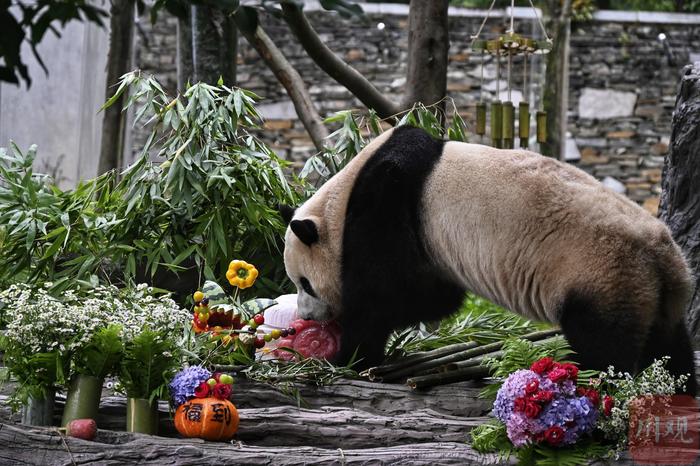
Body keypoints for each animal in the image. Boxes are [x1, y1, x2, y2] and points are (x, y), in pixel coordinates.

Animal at [278, 124, 696, 394]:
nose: (307, 315)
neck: (341, 199)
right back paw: (679, 391)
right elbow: (431, 298)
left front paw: (348, 354)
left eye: (304, 283)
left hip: (601, 271)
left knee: (604, 346)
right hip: (654, 293)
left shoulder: (390, 201)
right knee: (669, 349)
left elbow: (399, 293)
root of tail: (664, 258)